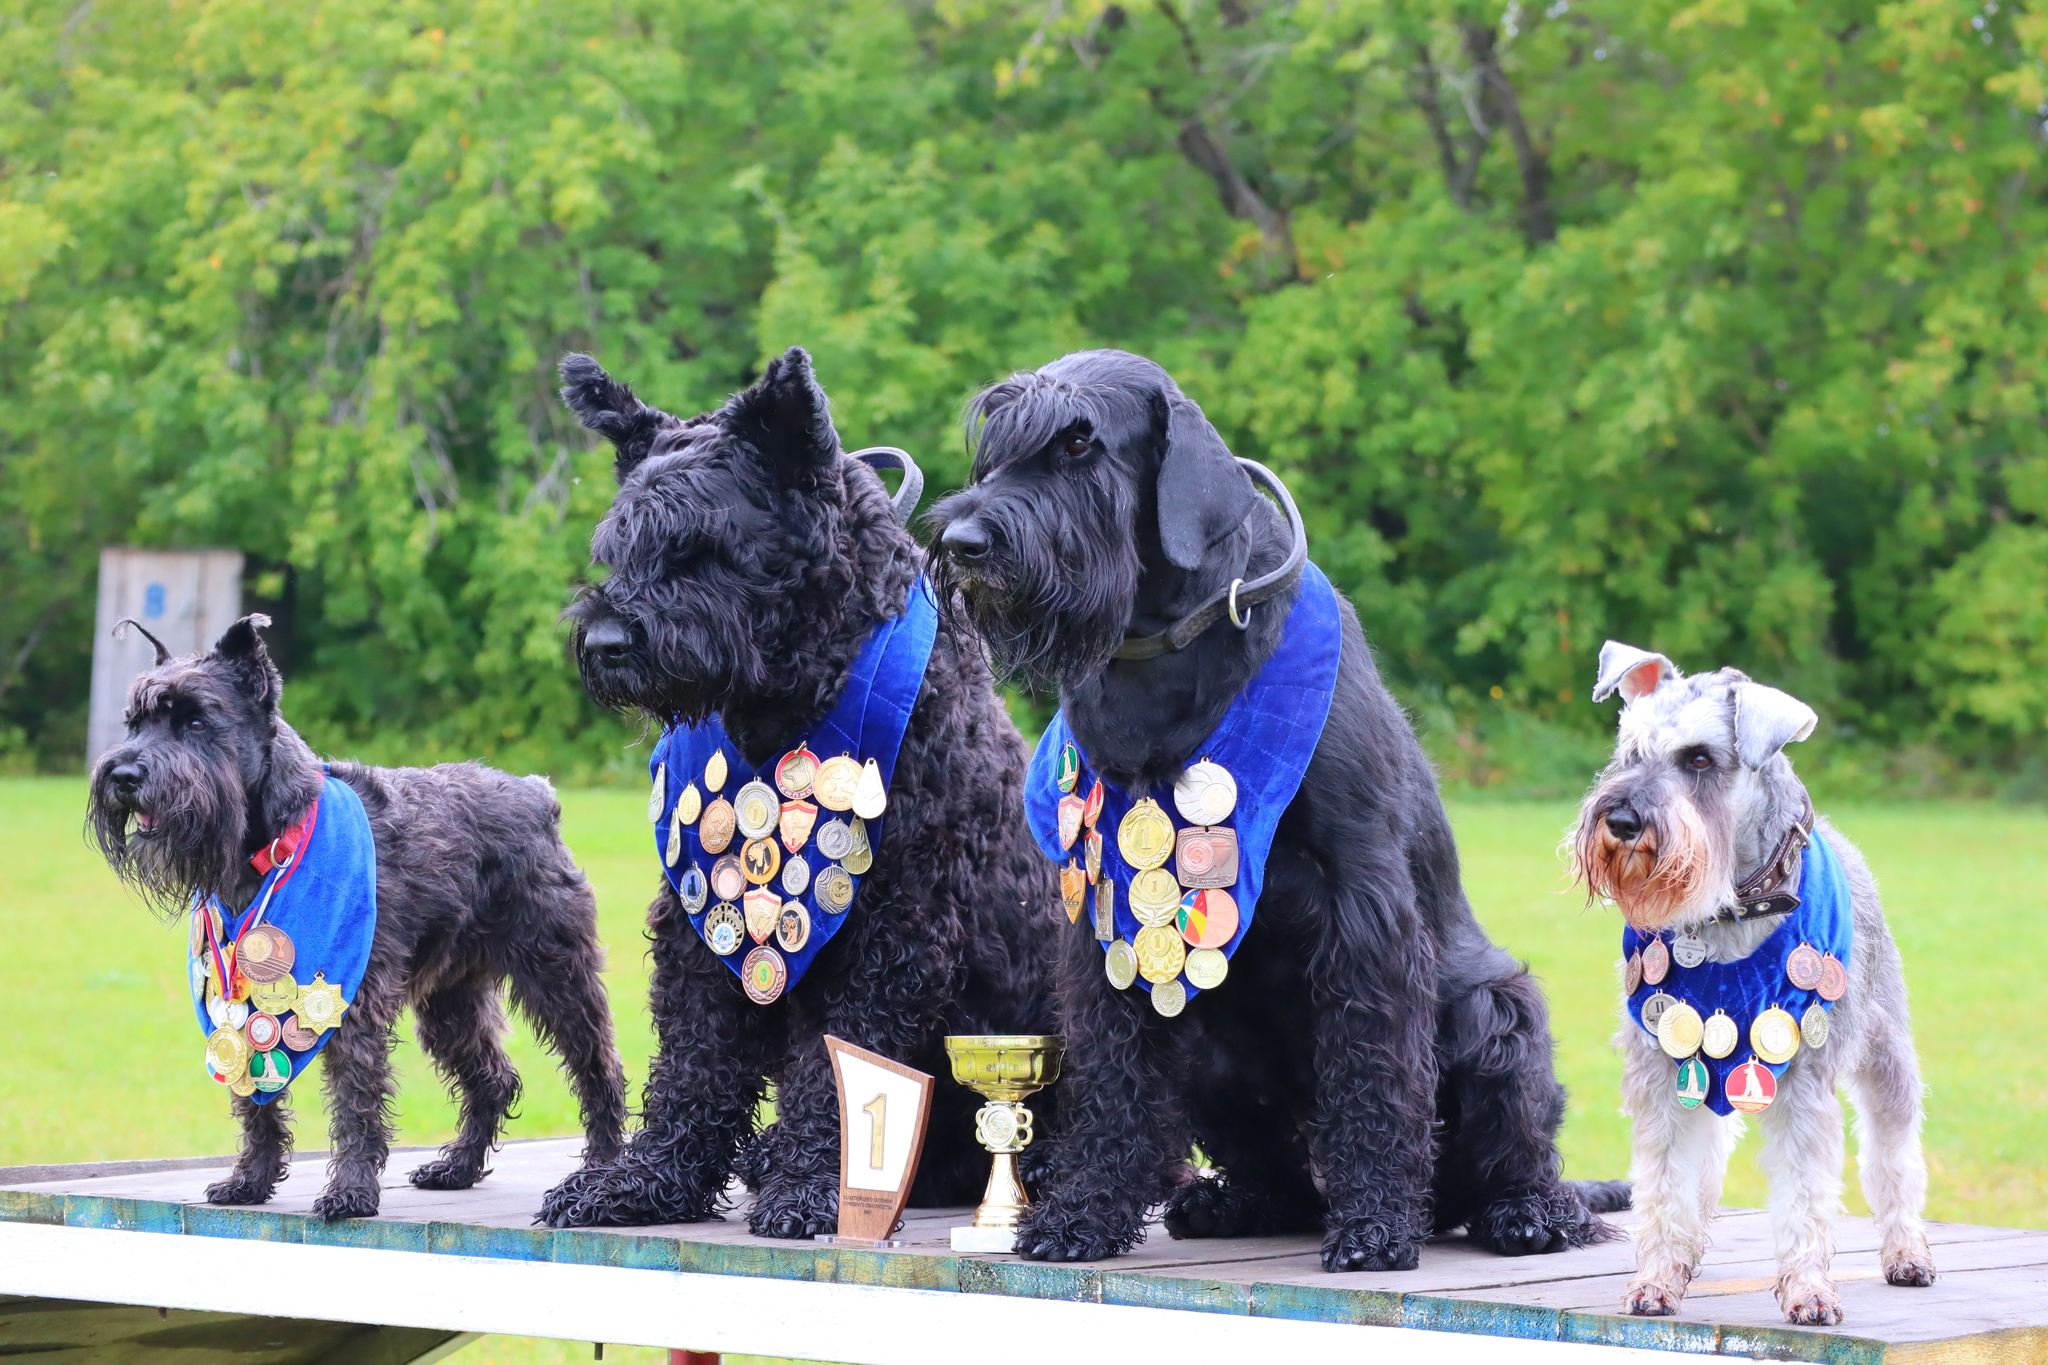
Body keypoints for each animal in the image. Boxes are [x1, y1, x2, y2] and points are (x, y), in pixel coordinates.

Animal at [88, 613, 626, 1219]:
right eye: (135, 724)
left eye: (197, 721)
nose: (124, 774)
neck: (270, 841)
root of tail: (538, 796)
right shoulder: (241, 1001)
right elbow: (255, 1100)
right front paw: (251, 1180)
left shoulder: (353, 1000)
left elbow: (355, 1099)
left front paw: (349, 1191)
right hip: (452, 1001)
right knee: (492, 1078)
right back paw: (458, 1168)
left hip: (558, 974)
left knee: (599, 1069)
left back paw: (599, 1171)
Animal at [532, 343, 1056, 1236]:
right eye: (618, 547)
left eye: (699, 544)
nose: (604, 642)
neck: (786, 702)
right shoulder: (698, 926)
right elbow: (693, 1064)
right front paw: (646, 1177)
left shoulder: (890, 931)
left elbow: (839, 1075)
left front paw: (815, 1185)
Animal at [925, 349, 1613, 1268]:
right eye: (993, 445)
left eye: (1079, 443)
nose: (963, 543)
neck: (1164, 650)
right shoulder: (1106, 914)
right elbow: (1112, 1071)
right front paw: (1083, 1211)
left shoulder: (1364, 899)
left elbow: (1373, 1068)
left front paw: (1375, 1227)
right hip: (1211, 1052)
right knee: (1282, 1173)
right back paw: (1234, 1202)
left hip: (1494, 1013)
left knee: (1510, 1157)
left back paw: (1527, 1211)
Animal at [1564, 646, 1933, 1326]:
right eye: (1631, 750)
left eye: (1699, 759)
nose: (1622, 819)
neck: (1729, 910)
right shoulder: (1662, 1077)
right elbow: (1665, 1184)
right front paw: (1656, 1278)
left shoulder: (1805, 1085)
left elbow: (1805, 1194)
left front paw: (1809, 1290)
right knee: (1705, 1165)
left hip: (1887, 1056)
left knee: (1893, 1157)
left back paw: (1907, 1252)